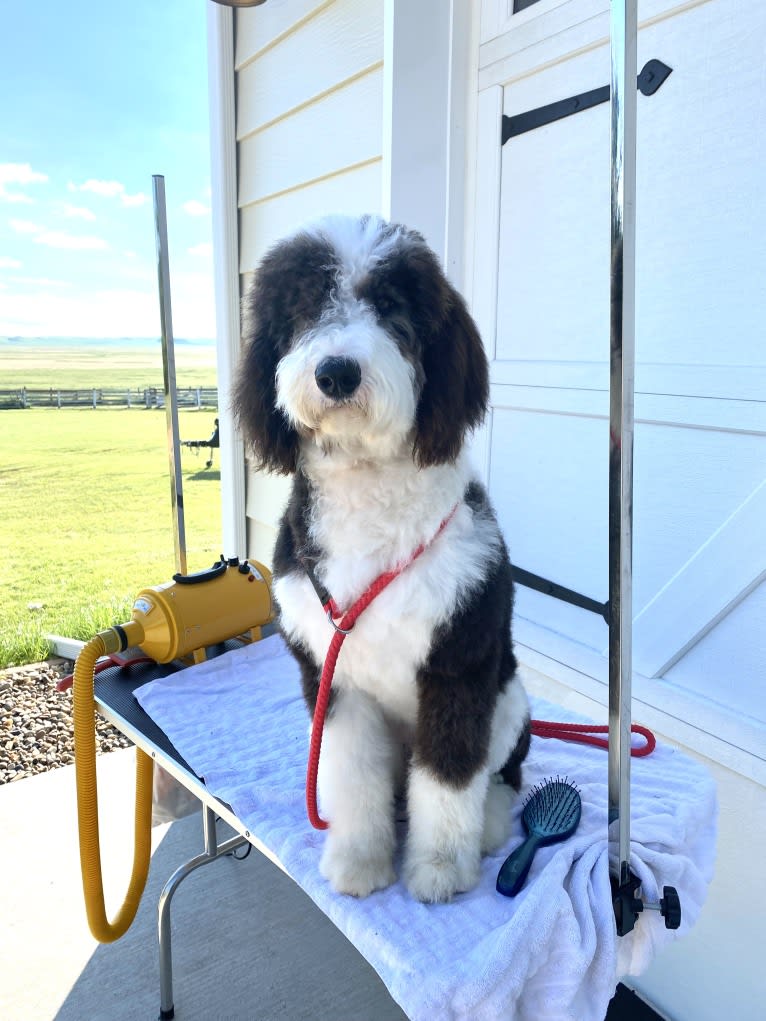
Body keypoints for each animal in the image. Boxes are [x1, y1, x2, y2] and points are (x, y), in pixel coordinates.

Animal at [233, 213, 535, 902]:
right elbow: (353, 777)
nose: (337, 372)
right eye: (306, 307)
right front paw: (360, 861)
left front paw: (439, 870)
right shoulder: (334, 682)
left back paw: (489, 823)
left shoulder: (457, 669)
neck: (368, 495)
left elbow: (449, 780)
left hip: (508, 701)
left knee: (500, 774)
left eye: (393, 307)